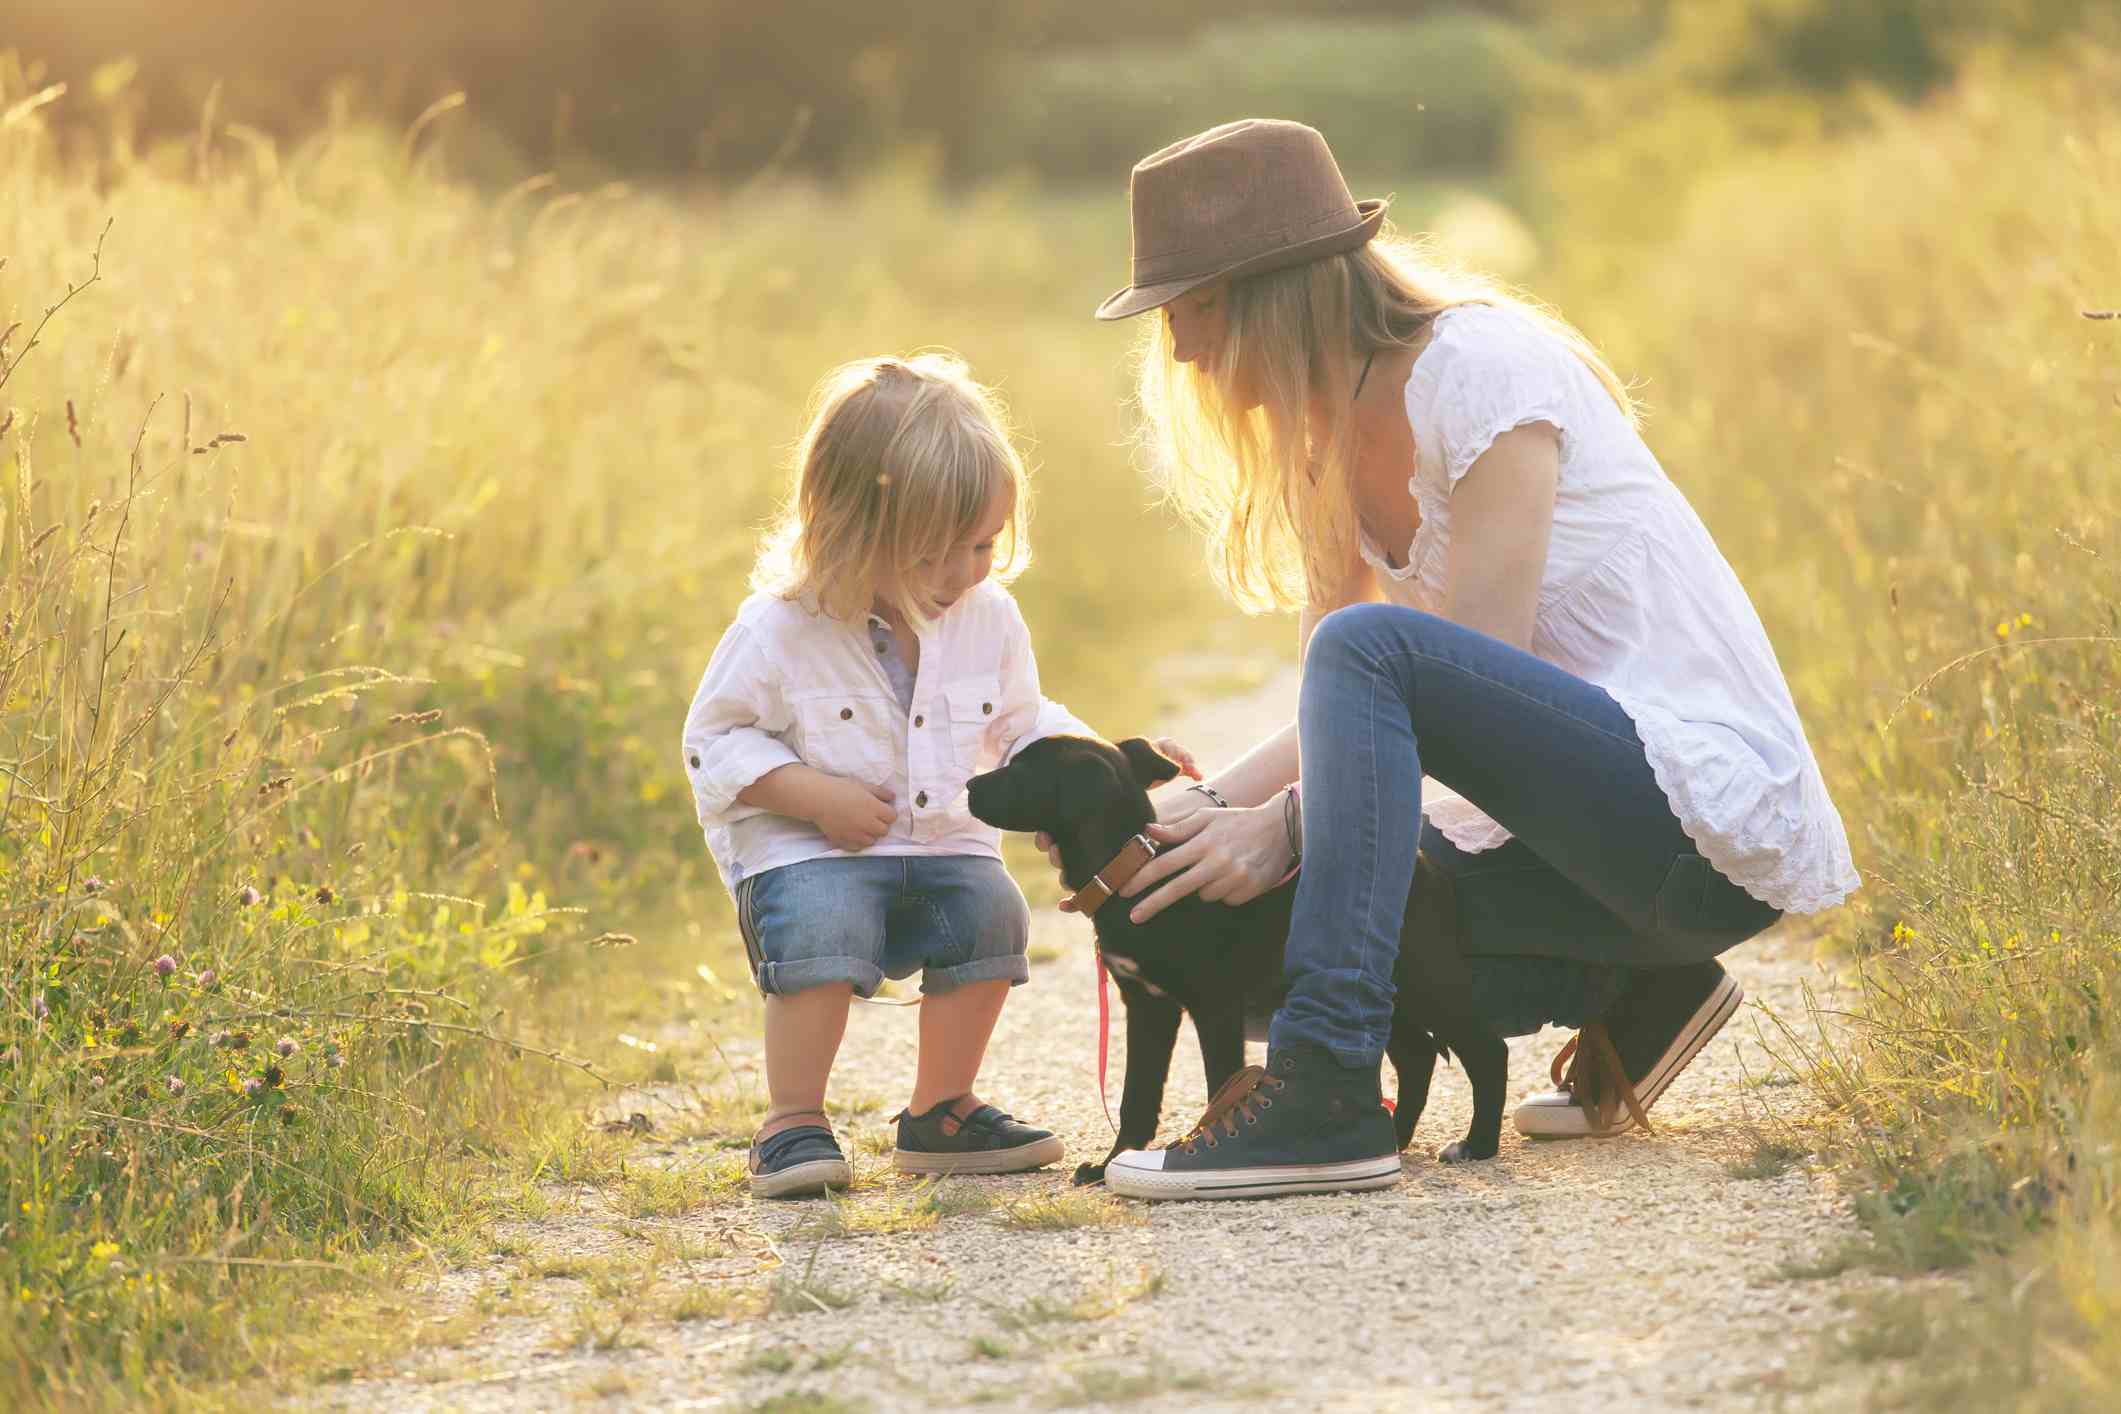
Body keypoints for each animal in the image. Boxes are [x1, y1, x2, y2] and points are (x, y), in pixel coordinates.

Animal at [971, 729, 1501, 1187]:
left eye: (1020, 769)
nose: (969, 786)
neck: (1132, 868)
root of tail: (1426, 866)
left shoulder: (1214, 1007)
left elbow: (1219, 1086)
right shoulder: (1147, 1007)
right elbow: (1137, 1097)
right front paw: (1109, 1165)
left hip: (1428, 979)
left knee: (1486, 1049)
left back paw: (1478, 1144)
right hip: (1386, 988)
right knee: (1417, 1056)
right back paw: (1396, 1137)